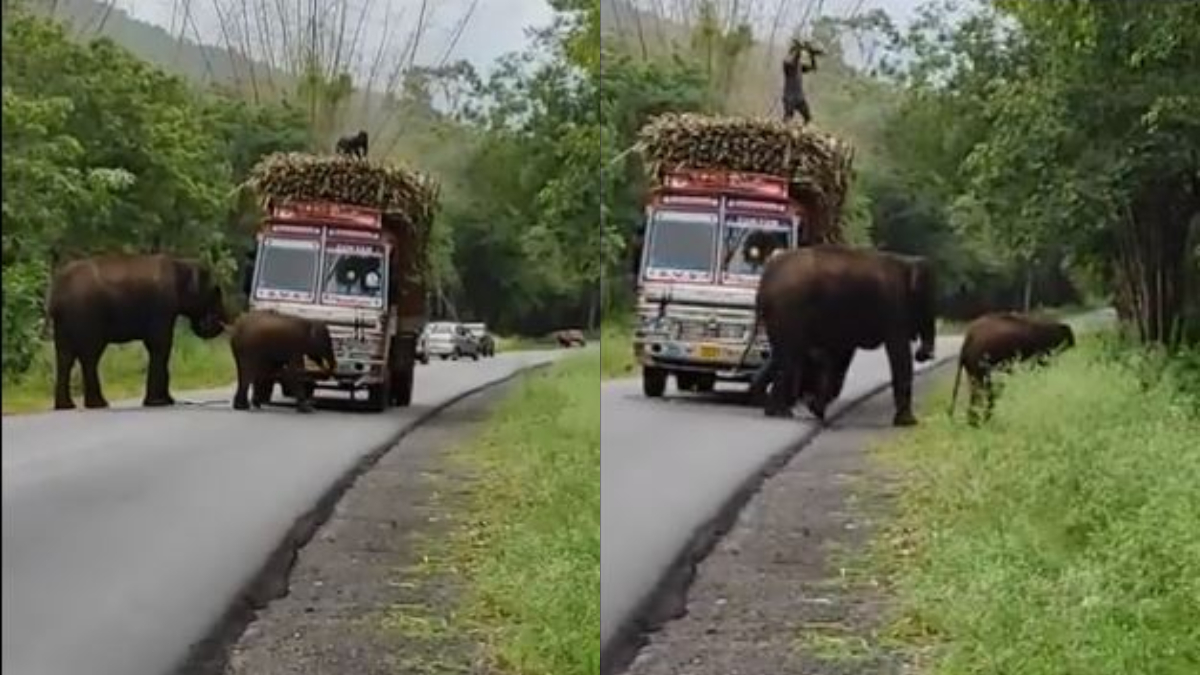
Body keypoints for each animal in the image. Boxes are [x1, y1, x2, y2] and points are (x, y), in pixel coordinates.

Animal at [47, 253, 229, 408]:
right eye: (216, 291)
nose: (209, 322)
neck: (180, 263)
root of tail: (56, 294)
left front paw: (166, 401)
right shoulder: (162, 305)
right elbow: (161, 344)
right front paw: (159, 403)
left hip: (64, 322)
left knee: (64, 356)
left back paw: (66, 406)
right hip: (86, 315)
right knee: (89, 356)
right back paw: (98, 404)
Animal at [748, 243, 936, 425]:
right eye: (926, 302)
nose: (923, 355)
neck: (907, 262)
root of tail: (765, 281)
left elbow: (841, 357)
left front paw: (816, 409)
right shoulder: (893, 308)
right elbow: (900, 354)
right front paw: (909, 422)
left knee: (783, 355)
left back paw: (774, 410)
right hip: (788, 310)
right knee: (789, 356)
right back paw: (781, 412)